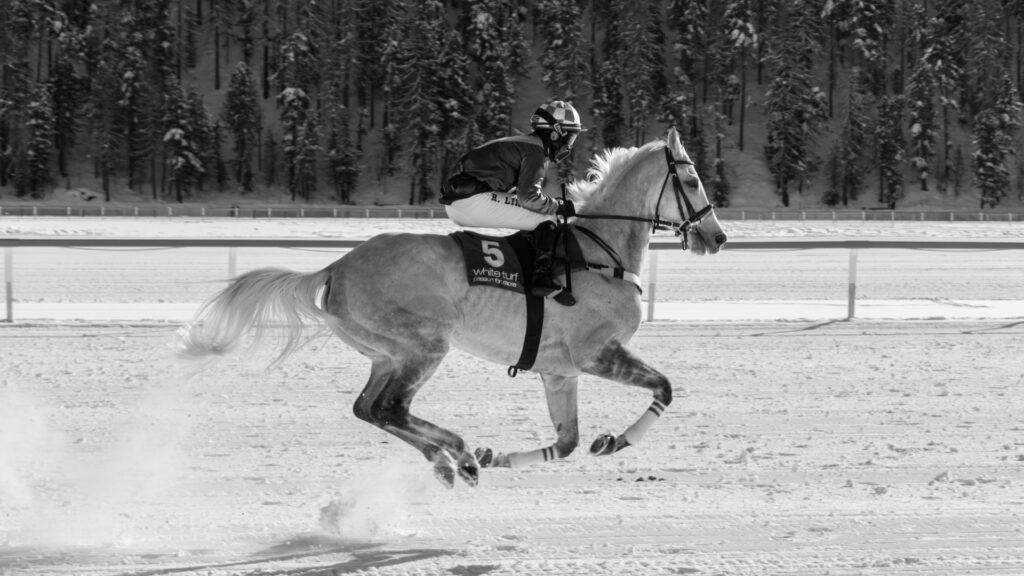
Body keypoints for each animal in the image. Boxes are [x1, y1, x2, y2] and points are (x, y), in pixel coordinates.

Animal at [178, 127, 728, 488]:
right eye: (693, 180)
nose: (717, 236)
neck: (600, 252)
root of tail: (337, 266)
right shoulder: (596, 353)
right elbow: (664, 387)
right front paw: (618, 440)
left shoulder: (559, 371)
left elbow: (568, 441)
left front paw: (504, 455)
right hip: (425, 344)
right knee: (391, 407)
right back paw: (458, 455)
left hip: (386, 353)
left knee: (368, 408)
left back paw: (451, 460)